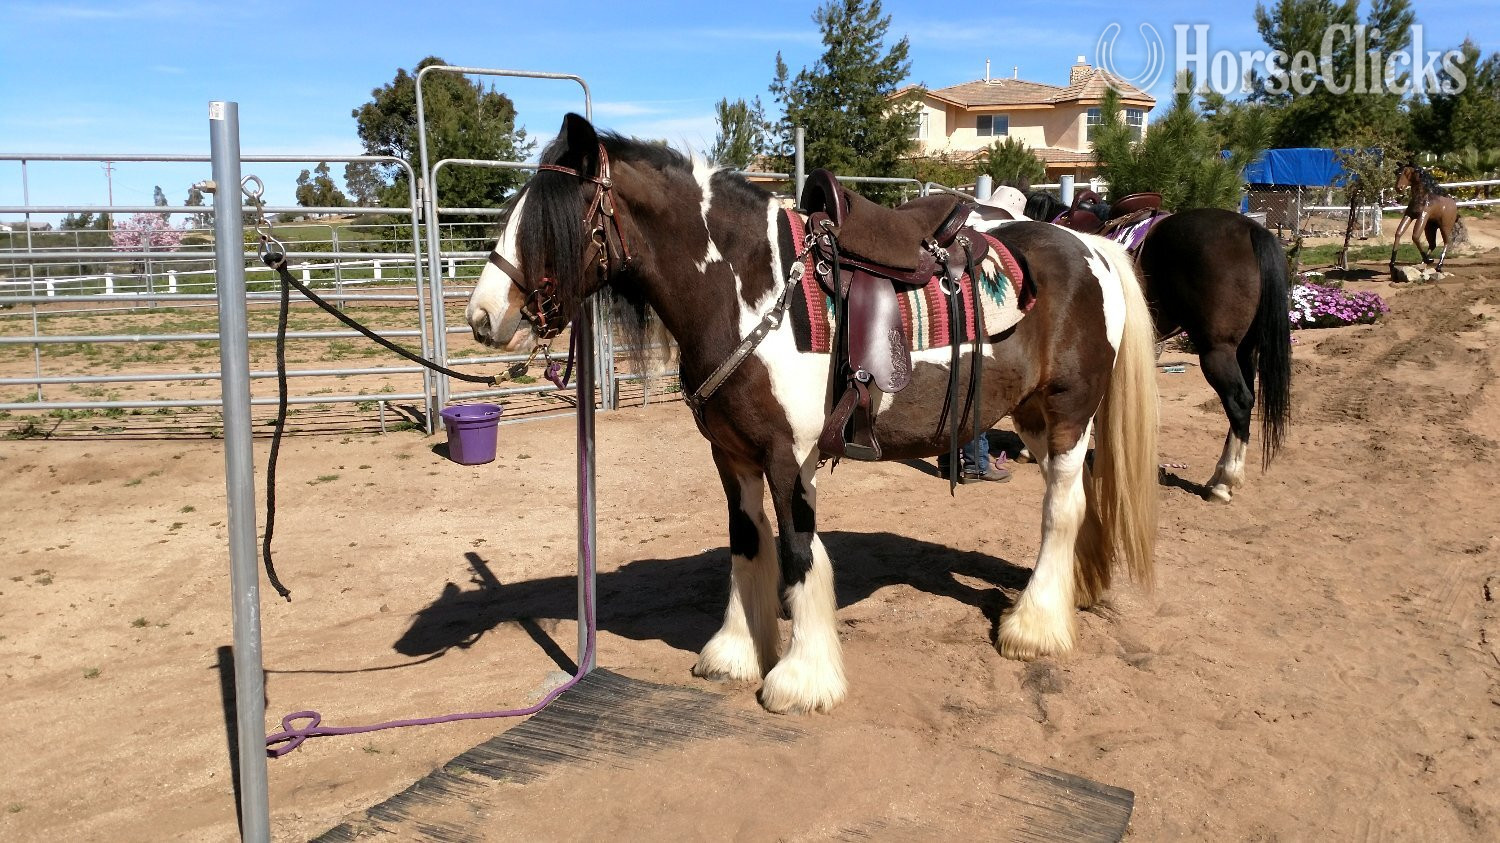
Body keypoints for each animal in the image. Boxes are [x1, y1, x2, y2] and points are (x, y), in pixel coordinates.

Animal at [467, 113, 1159, 715]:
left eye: (549, 220)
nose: (481, 317)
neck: (749, 290)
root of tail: (1090, 244)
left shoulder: (788, 457)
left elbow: (799, 554)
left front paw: (801, 679)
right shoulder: (732, 456)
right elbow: (748, 545)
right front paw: (737, 653)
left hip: (1066, 414)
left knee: (1060, 509)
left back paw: (1033, 627)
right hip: (1036, 421)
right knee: (1082, 496)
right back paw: (1077, 591)